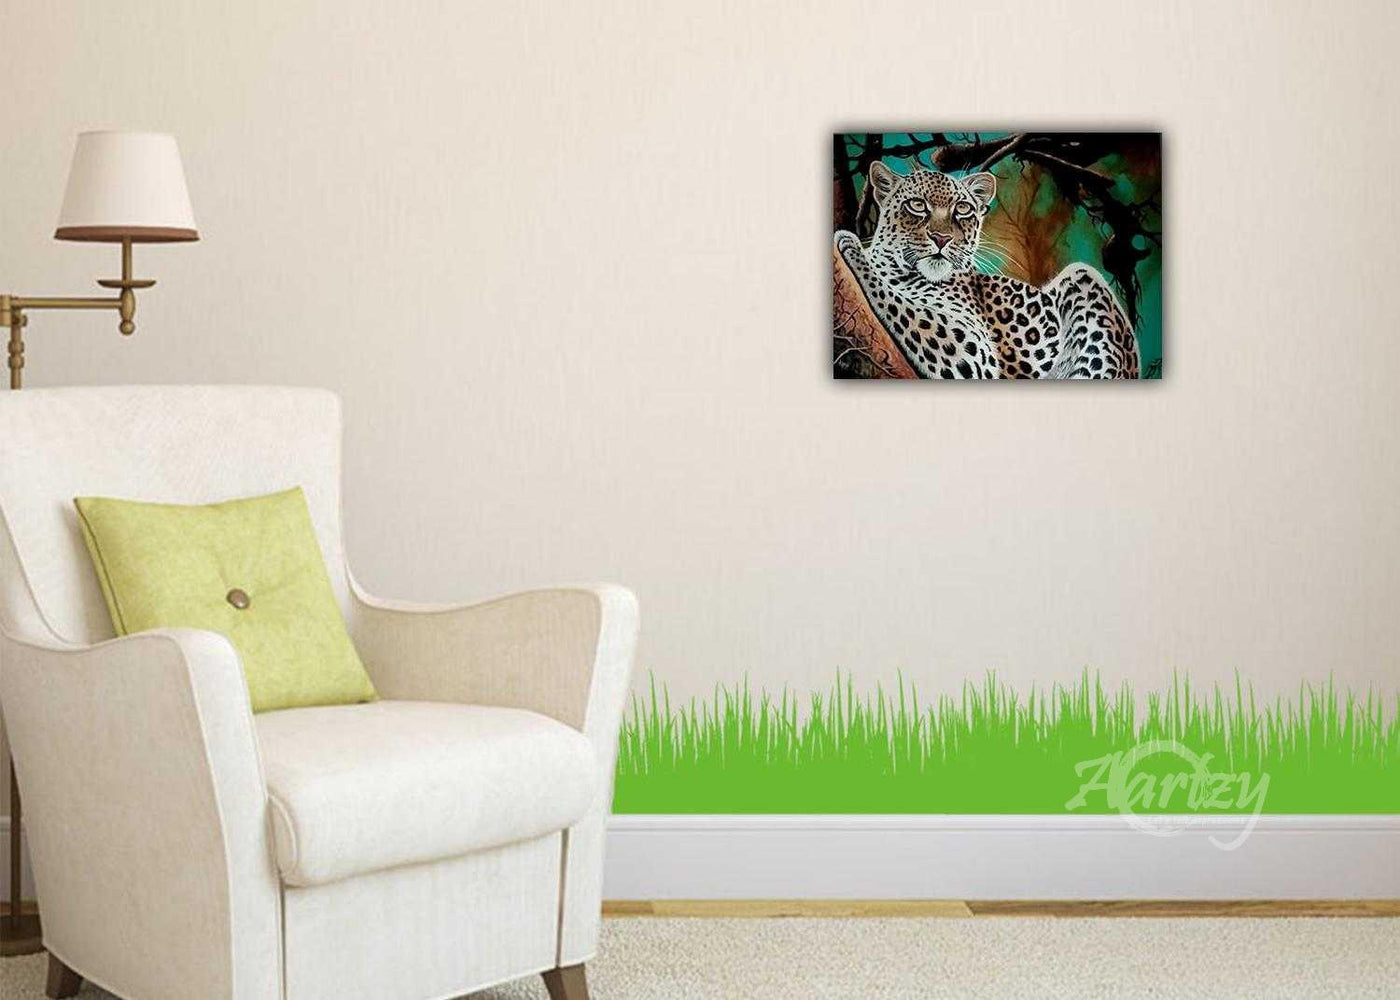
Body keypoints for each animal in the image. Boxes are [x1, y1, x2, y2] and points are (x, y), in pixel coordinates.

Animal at [834, 161, 1139, 379]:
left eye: (963, 208)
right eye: (917, 205)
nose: (942, 238)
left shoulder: (975, 352)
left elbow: (890, 294)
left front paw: (851, 245)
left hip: (1084, 279)